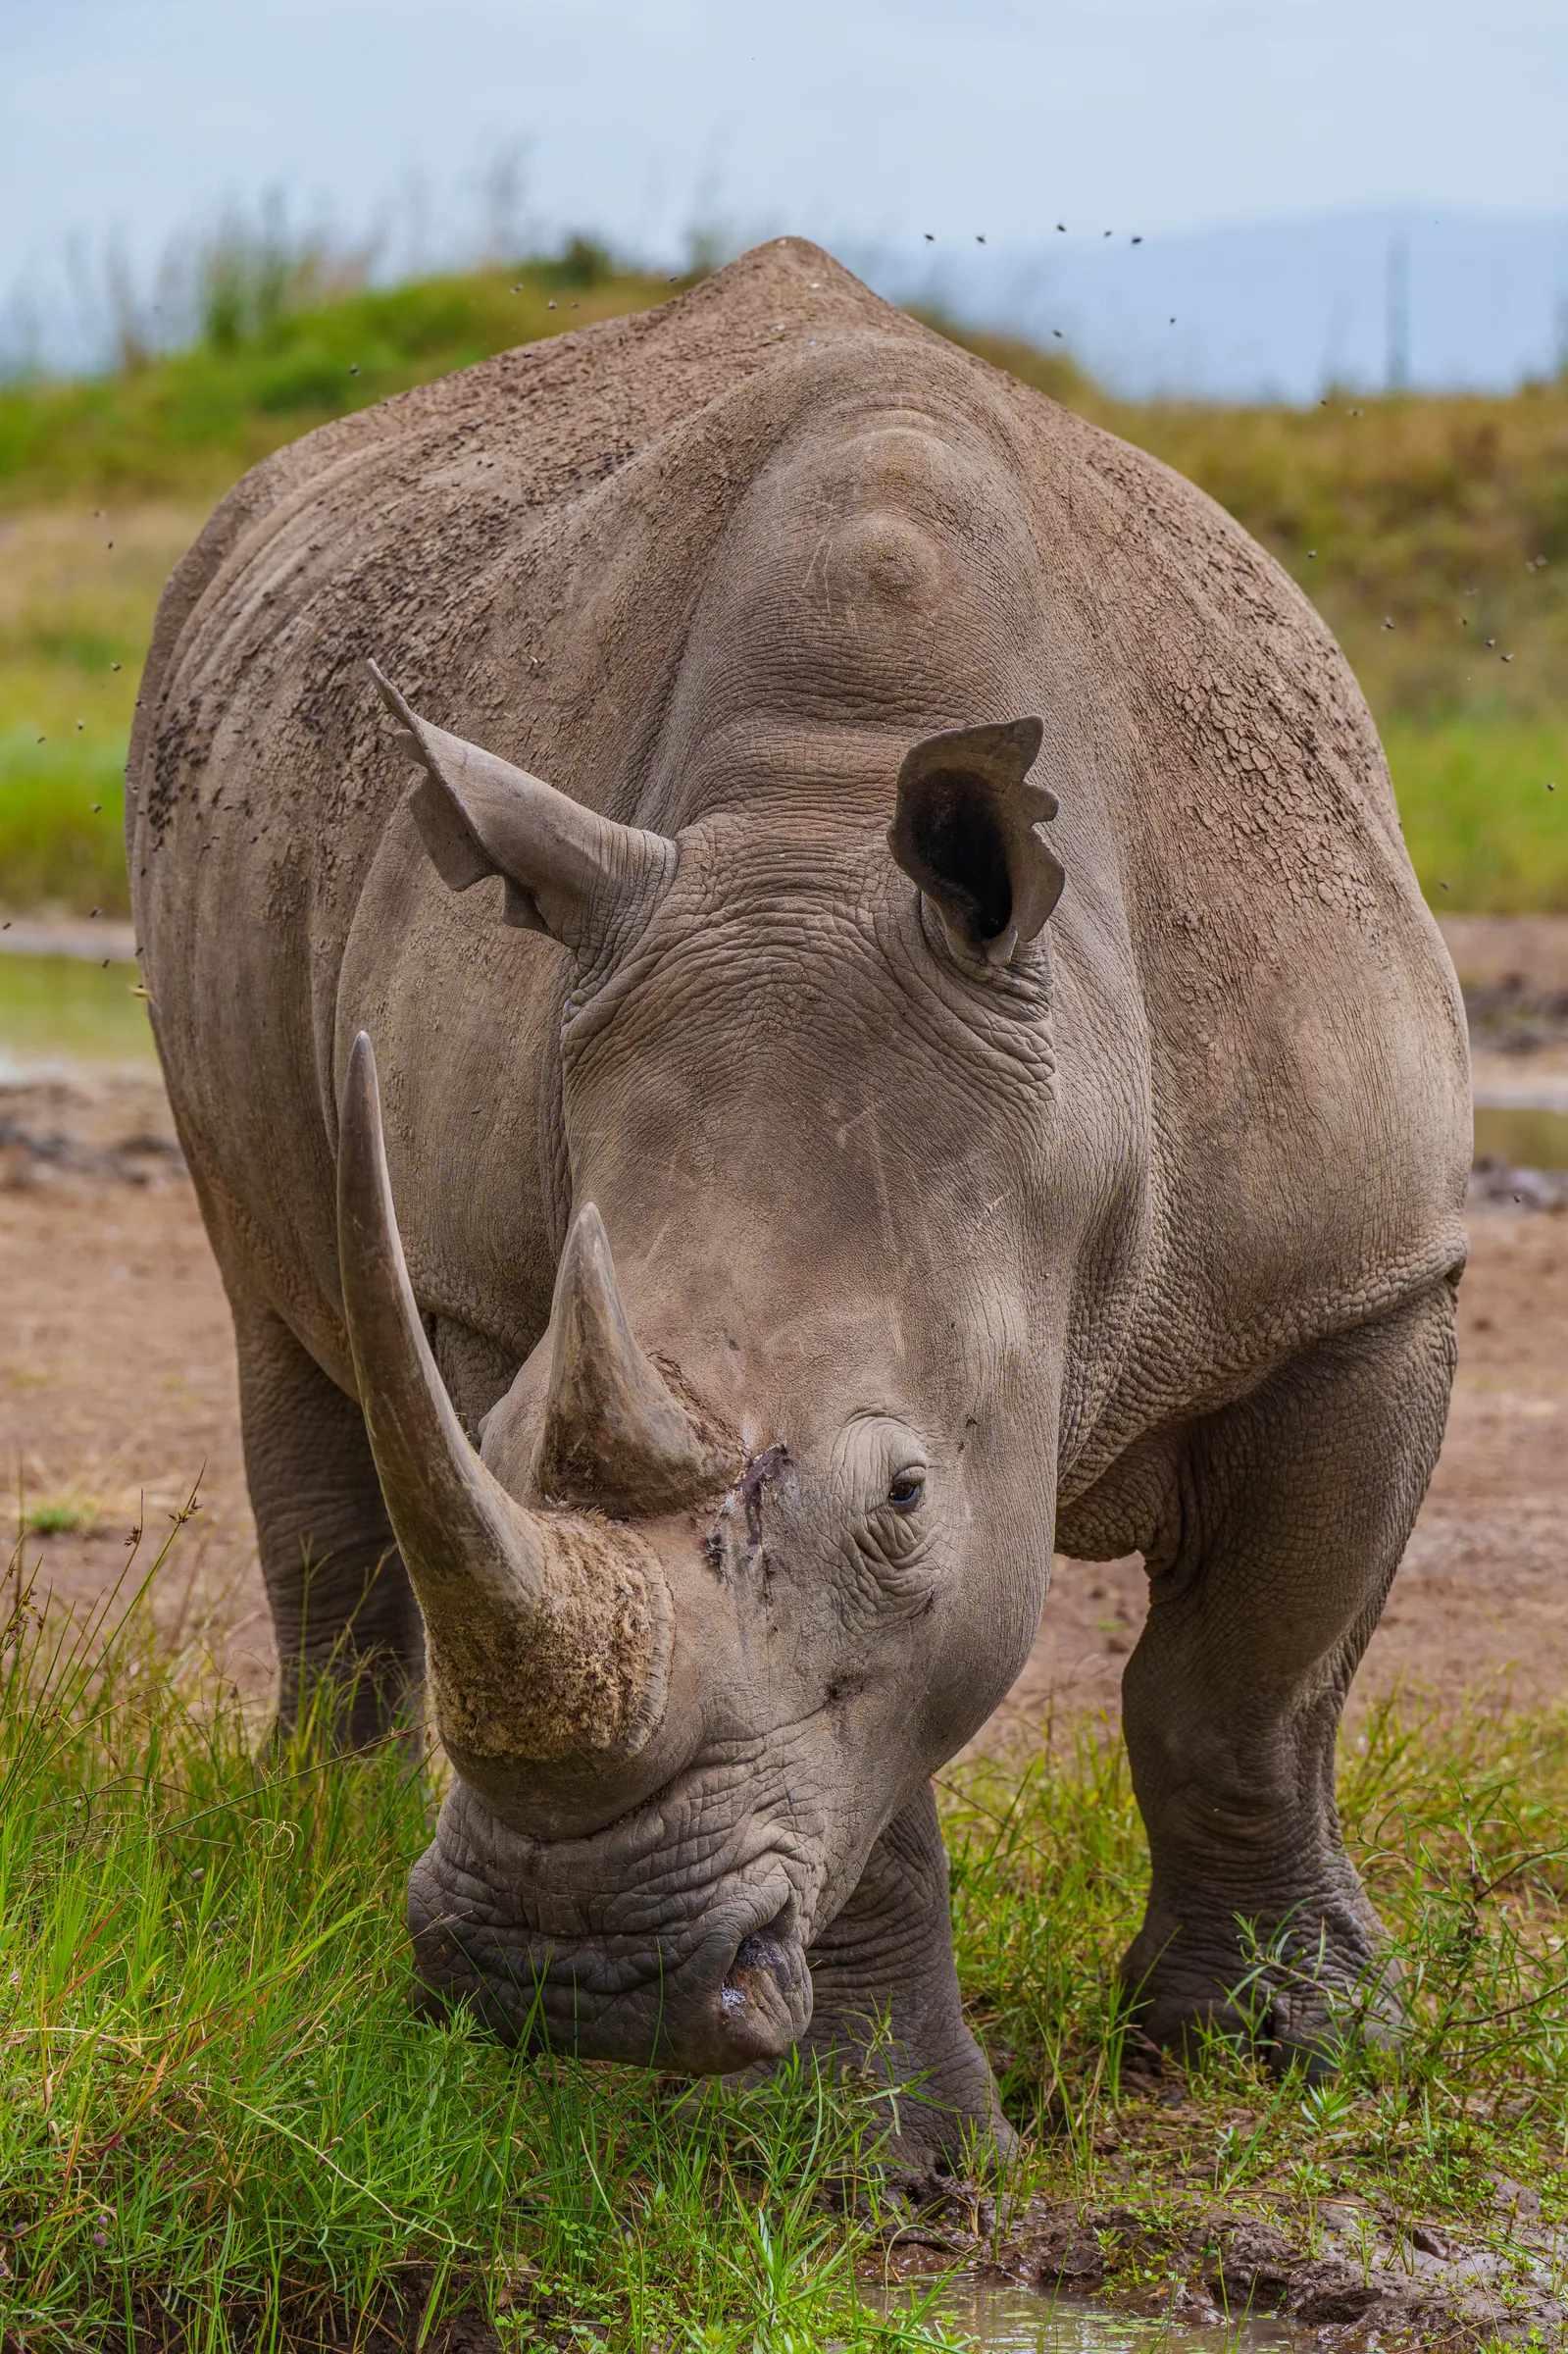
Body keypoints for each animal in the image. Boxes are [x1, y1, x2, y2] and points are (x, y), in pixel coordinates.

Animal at [130, 239, 1469, 2160]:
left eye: (900, 1496)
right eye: (510, 1429)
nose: (571, 1973)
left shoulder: (1353, 1284)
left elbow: (1247, 1693)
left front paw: (1293, 2052)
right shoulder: (479, 1292)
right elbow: (874, 1773)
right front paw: (884, 2163)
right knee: (278, 1320)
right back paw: (308, 1856)